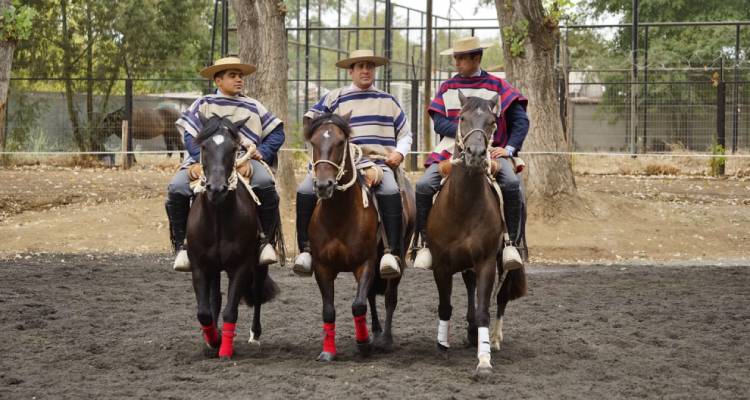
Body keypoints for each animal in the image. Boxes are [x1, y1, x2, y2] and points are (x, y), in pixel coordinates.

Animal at [187, 112, 280, 360]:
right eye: (204, 146)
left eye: (233, 148)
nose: (216, 189)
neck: (219, 218)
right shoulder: (200, 267)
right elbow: (204, 311)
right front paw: (213, 339)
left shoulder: (241, 266)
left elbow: (231, 310)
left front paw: (225, 349)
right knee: (215, 300)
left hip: (258, 264)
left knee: (256, 293)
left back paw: (255, 335)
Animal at [304, 111, 418, 360]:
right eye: (314, 142)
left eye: (340, 142)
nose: (323, 185)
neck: (339, 215)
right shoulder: (323, 267)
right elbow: (329, 310)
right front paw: (328, 352)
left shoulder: (364, 263)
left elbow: (358, 305)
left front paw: (363, 343)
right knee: (372, 296)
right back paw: (375, 332)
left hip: (397, 256)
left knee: (389, 296)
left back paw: (385, 339)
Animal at [428, 92, 528, 380]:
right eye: (462, 118)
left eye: (492, 122)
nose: (475, 154)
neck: (462, 205)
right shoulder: (441, 264)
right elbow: (445, 306)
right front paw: (442, 347)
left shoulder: (485, 262)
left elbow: (485, 309)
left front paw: (483, 361)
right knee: (470, 284)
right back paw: (472, 334)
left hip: (504, 260)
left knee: (501, 296)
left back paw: (492, 339)